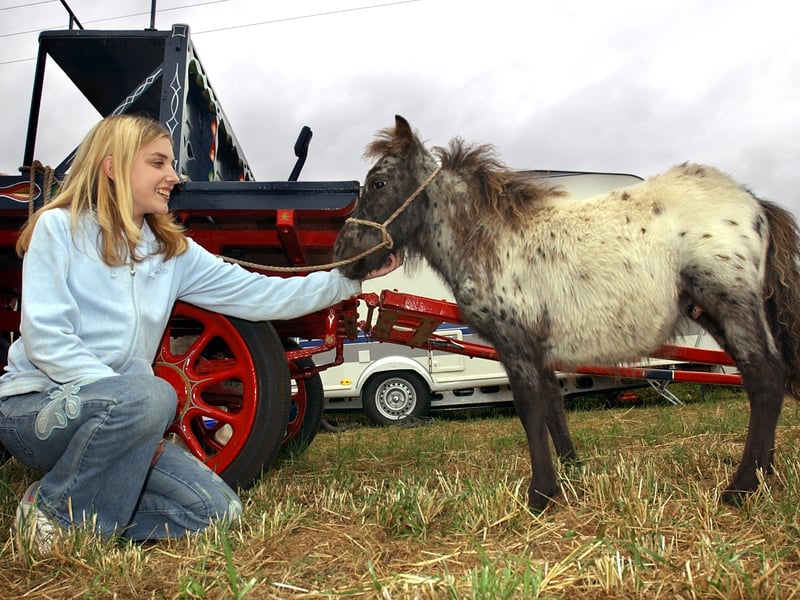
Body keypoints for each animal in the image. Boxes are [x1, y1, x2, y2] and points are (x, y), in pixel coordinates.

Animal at [333, 115, 800, 512]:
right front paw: (571, 471)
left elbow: (529, 405)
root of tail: (755, 203)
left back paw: (741, 487)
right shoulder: (539, 345)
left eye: (378, 182)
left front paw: (541, 495)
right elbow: (553, 402)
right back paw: (764, 475)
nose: (342, 254)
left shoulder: (514, 339)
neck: (492, 240)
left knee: (764, 376)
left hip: (729, 301)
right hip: (710, 311)